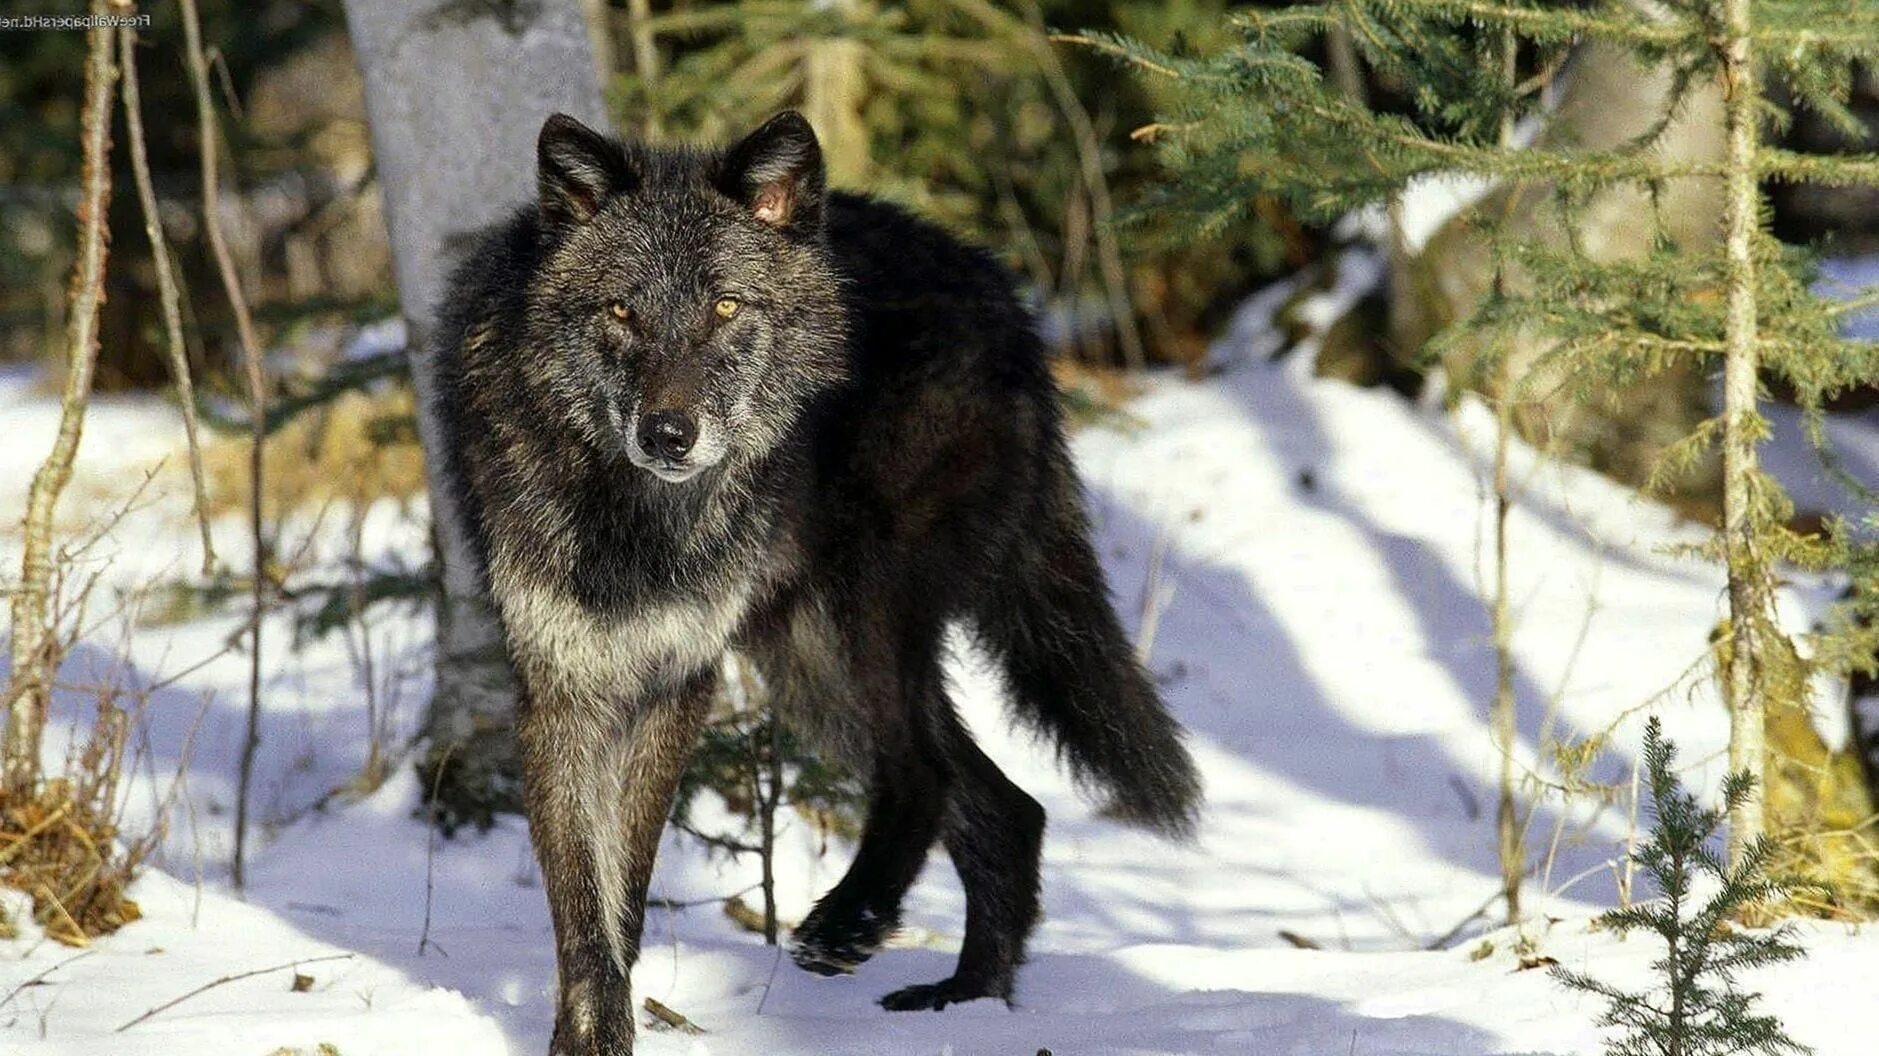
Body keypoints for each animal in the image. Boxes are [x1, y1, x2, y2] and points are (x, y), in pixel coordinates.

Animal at [434, 110, 1202, 1044]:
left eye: (726, 306)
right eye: (620, 310)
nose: (668, 434)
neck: (639, 522)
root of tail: (1002, 295)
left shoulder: (679, 681)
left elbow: (626, 887)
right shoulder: (561, 688)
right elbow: (588, 909)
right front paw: (590, 1036)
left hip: (861, 612)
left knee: (926, 773)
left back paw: (850, 924)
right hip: (806, 668)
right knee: (1007, 807)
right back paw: (969, 1002)